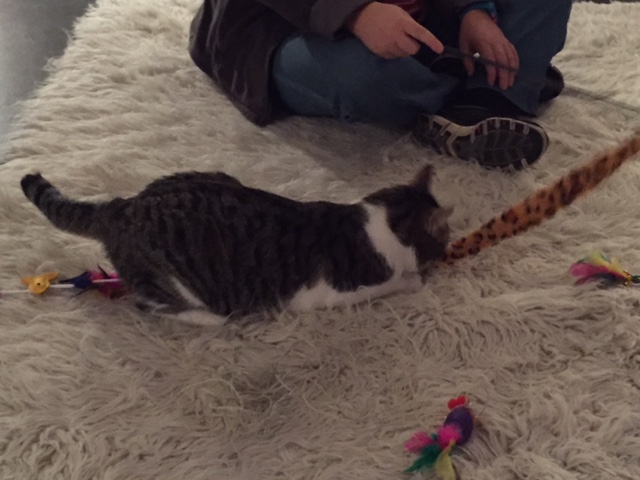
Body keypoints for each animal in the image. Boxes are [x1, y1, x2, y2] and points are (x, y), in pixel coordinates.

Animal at [21, 165, 451, 326]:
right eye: (444, 236)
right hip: (172, 280)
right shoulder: (335, 292)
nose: (449, 250)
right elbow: (392, 284)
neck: (377, 221)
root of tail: (120, 206)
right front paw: (414, 280)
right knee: (152, 303)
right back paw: (213, 318)